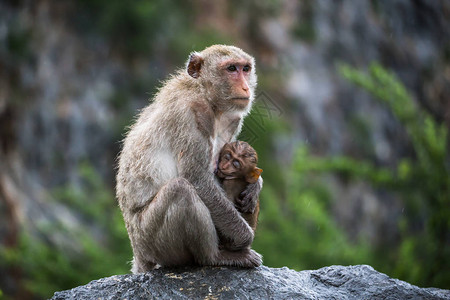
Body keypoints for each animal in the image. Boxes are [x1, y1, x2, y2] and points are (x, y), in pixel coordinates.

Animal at [116, 44, 262, 272]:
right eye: (231, 68)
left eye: (245, 69)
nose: (246, 88)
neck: (203, 92)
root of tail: (138, 254)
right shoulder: (192, 113)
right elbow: (197, 178)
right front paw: (243, 238)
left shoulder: (232, 120)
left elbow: (224, 174)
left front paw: (255, 185)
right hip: (152, 240)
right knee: (181, 190)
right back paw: (214, 257)